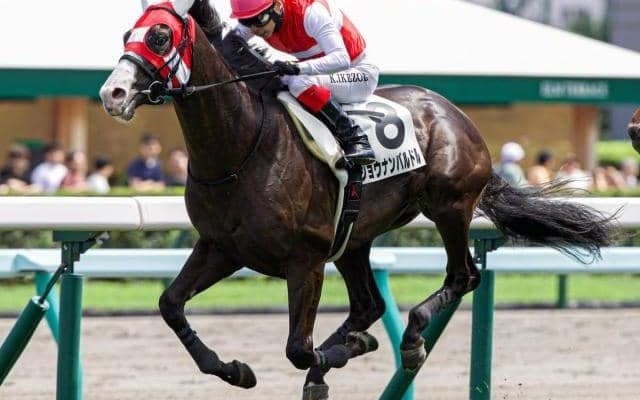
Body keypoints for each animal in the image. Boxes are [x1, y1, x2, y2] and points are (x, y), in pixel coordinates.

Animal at [99, 0, 616, 398]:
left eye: (161, 36)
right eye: (128, 33)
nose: (113, 93)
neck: (242, 147)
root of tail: (455, 114)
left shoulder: (305, 258)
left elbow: (297, 347)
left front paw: (353, 350)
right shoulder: (222, 247)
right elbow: (170, 304)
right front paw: (235, 370)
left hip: (448, 206)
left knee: (462, 275)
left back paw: (409, 338)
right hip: (356, 238)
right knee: (370, 304)